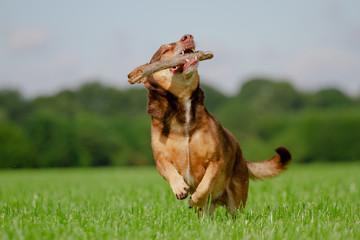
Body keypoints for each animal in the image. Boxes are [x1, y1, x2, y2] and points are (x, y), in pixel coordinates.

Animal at [128, 33, 292, 214]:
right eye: (165, 50)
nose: (187, 36)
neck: (183, 104)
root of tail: (242, 158)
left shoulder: (215, 160)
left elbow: (205, 186)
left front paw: (196, 199)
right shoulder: (160, 159)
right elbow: (170, 170)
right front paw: (180, 188)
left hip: (237, 195)